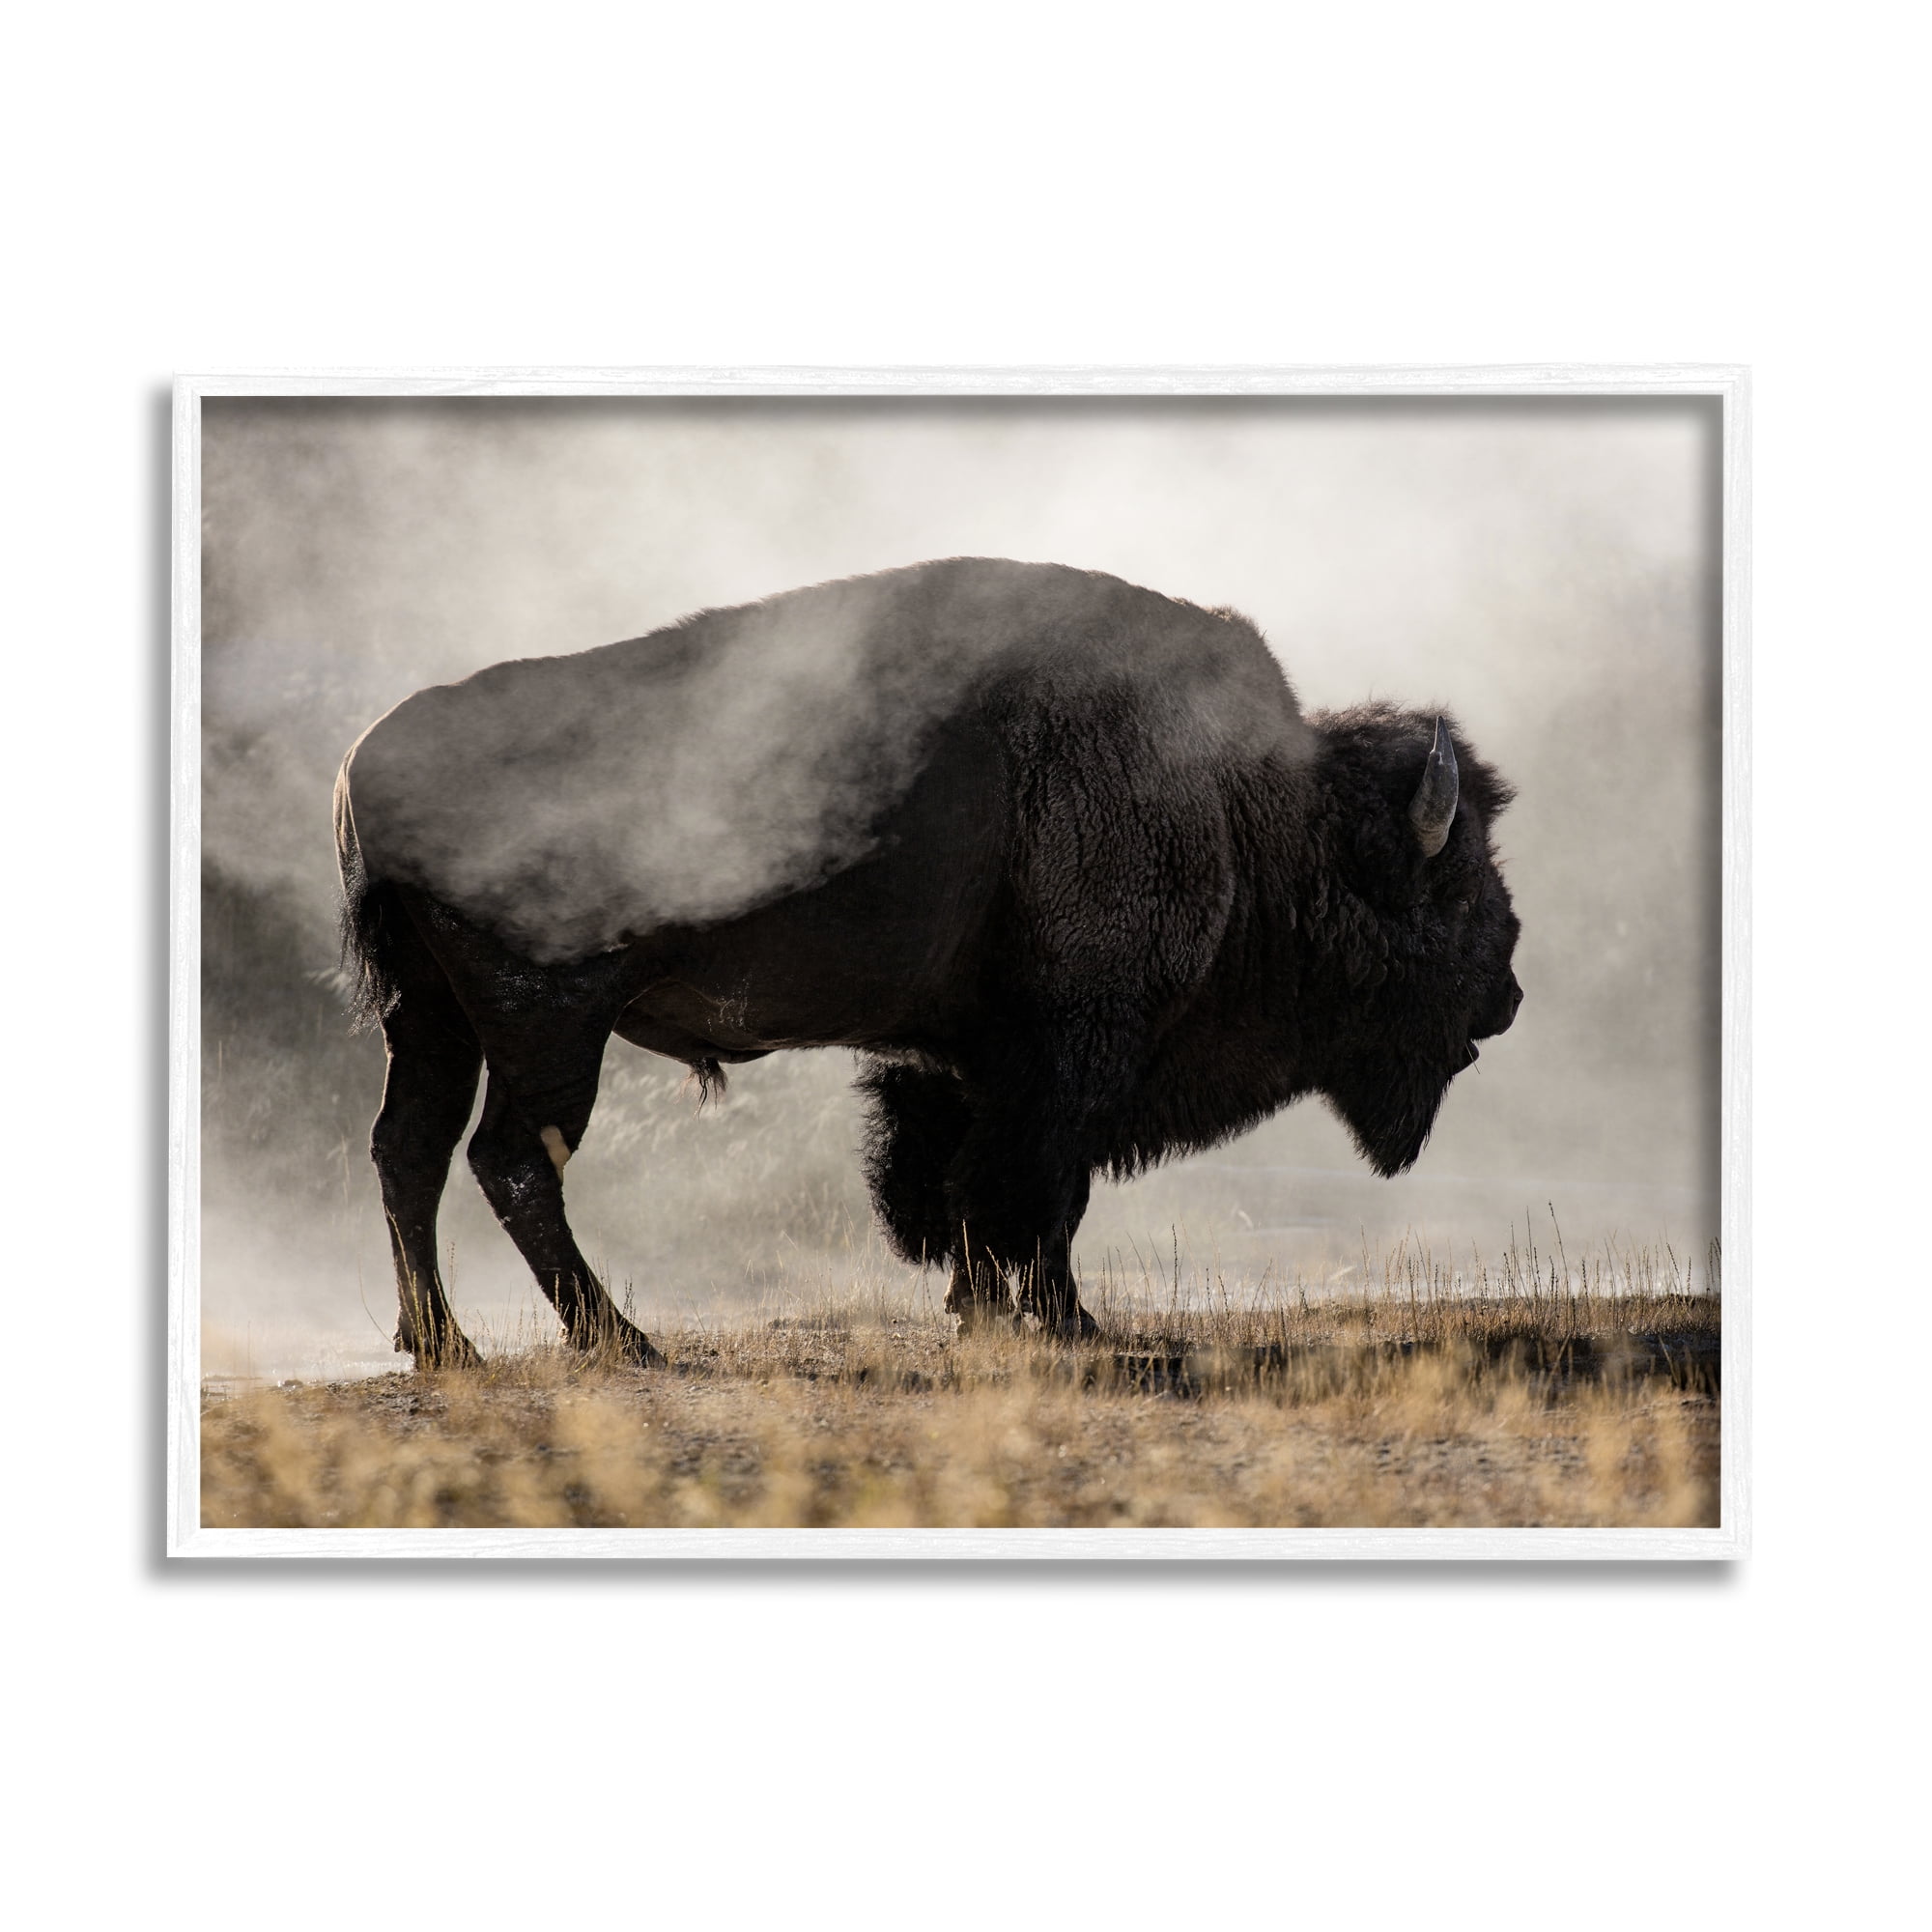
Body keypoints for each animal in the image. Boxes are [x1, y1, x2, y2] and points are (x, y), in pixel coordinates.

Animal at [334, 557, 1522, 1367]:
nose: (1507, 992)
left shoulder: (973, 1060)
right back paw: (622, 1340)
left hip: (430, 1015)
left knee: (409, 1149)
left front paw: (984, 1310)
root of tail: (365, 761)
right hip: (548, 1023)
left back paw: (444, 1345)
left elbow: (969, 1187)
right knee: (510, 1157)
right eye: (1456, 880)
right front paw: (1063, 1322)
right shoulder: (1071, 1050)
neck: (1245, 803)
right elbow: (1035, 1189)